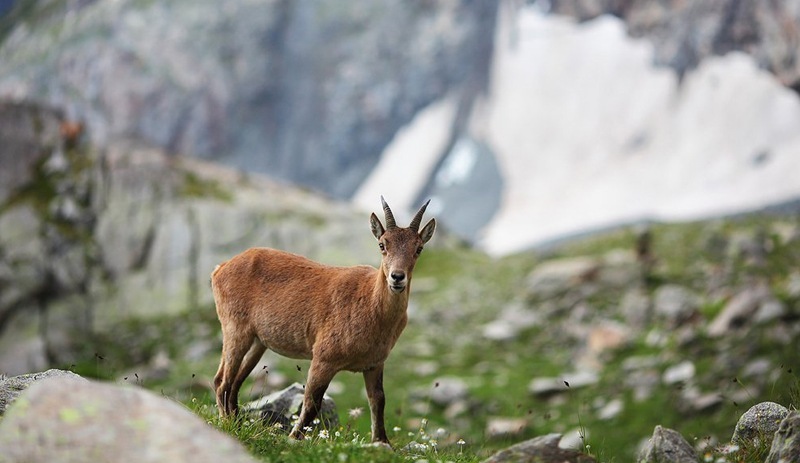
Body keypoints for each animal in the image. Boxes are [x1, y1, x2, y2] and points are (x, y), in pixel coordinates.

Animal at [212, 198, 434, 444]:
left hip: (258, 341)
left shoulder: (374, 364)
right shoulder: (324, 358)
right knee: (221, 381)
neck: (372, 306)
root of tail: (221, 268)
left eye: (418, 248)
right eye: (382, 245)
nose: (397, 277)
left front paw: (382, 442)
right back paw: (227, 423)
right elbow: (311, 403)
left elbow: (378, 401)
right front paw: (294, 437)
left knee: (235, 382)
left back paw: (237, 422)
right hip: (235, 329)